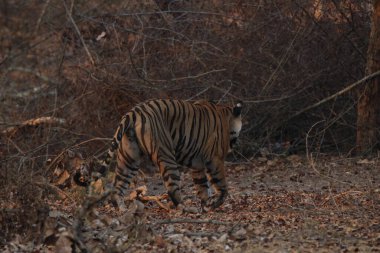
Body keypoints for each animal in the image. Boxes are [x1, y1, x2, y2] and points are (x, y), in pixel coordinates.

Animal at [100, 99, 243, 211]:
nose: (236, 145)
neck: (226, 116)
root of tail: (134, 112)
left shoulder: (197, 164)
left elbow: (202, 185)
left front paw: (206, 205)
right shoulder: (215, 159)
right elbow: (222, 186)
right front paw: (213, 204)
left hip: (129, 158)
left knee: (118, 187)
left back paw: (122, 209)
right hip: (166, 155)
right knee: (172, 188)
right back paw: (185, 208)